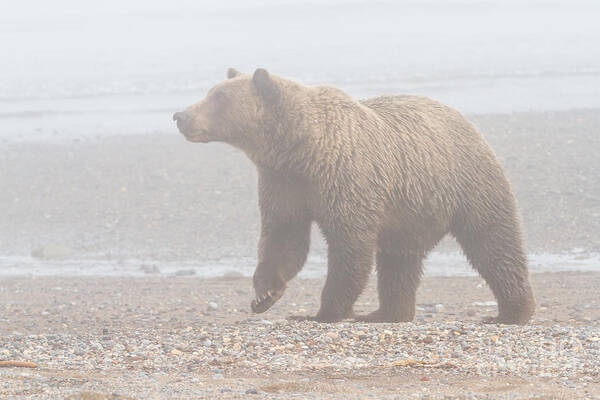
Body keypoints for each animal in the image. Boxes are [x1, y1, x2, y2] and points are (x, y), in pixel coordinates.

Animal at [172, 68, 536, 324]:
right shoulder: (283, 183)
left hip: (467, 183)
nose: (180, 115)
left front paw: (321, 312)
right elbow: (283, 237)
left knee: (492, 242)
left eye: (219, 97)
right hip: (409, 209)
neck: (302, 149)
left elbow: (349, 246)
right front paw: (265, 294)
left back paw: (510, 312)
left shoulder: (345, 178)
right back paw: (386, 313)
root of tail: (465, 119)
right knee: (399, 261)